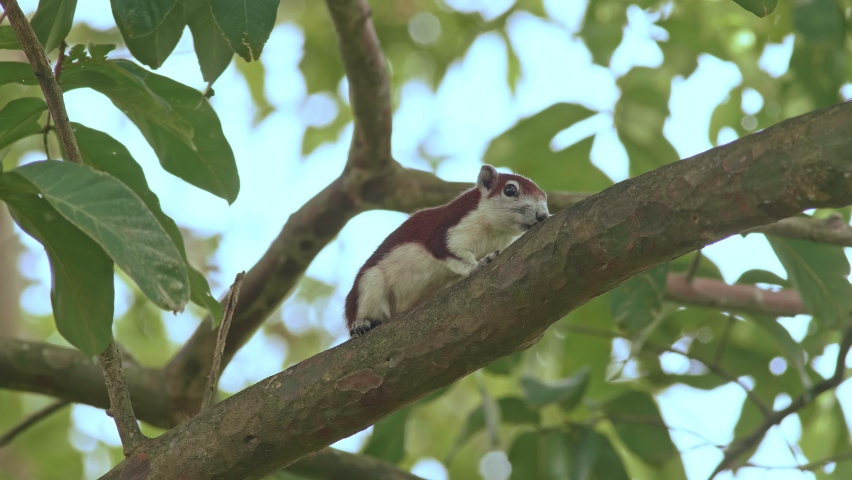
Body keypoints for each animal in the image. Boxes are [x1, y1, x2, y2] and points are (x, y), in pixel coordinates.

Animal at [344, 164, 549, 337]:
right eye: (510, 190)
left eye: (545, 198)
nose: (543, 215)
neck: (496, 231)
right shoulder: (447, 232)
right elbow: (449, 251)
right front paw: (478, 264)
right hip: (369, 285)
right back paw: (361, 323)